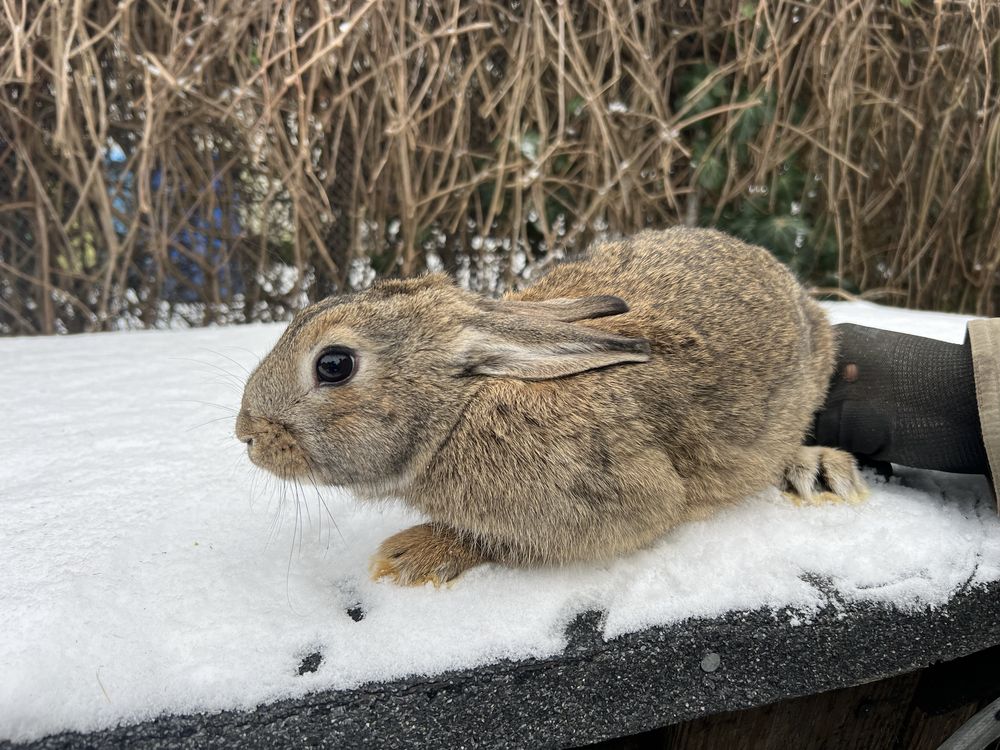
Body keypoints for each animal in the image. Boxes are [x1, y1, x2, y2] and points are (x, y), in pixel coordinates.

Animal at [236, 229, 868, 588]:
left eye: (333, 365)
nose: (246, 433)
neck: (461, 408)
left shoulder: (619, 504)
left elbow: (501, 542)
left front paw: (410, 555)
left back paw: (816, 469)